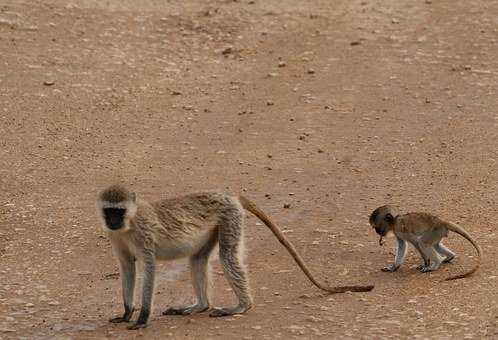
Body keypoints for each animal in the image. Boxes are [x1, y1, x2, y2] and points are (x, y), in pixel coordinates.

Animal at [96, 186, 374, 330]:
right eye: (108, 211)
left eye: (118, 211)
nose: (112, 221)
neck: (129, 224)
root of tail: (229, 195)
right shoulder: (116, 238)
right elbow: (127, 267)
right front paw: (126, 313)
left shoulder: (144, 234)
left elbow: (149, 267)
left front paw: (142, 318)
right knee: (198, 260)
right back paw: (200, 306)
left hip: (229, 217)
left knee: (228, 256)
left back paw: (241, 306)